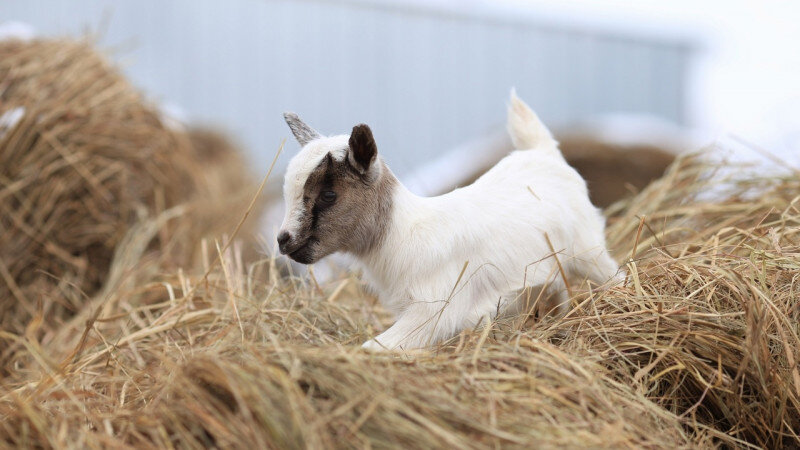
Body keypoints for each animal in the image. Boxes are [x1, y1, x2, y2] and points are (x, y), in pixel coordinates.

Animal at [278, 92, 620, 352]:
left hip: (588, 249)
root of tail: (543, 154)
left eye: (328, 195)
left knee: (615, 276)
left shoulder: (434, 311)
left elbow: (373, 348)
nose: (283, 240)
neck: (401, 234)